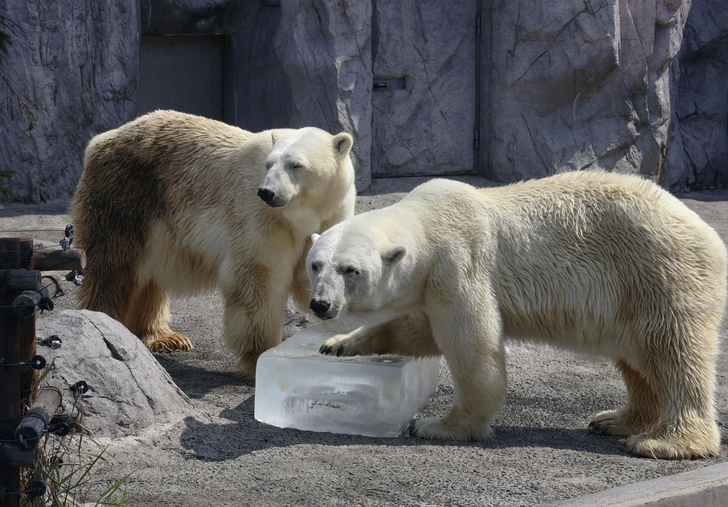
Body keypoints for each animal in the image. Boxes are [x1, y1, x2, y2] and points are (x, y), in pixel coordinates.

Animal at [72, 112, 356, 380]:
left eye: (296, 164)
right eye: (269, 164)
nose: (267, 192)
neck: (300, 215)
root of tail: (100, 139)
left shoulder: (329, 217)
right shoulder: (259, 217)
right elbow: (259, 279)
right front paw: (262, 357)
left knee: (149, 277)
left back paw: (164, 337)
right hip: (126, 198)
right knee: (114, 268)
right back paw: (106, 324)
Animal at [308, 171, 728, 460]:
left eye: (350, 270)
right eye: (315, 265)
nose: (320, 304)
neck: (429, 219)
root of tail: (708, 234)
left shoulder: (458, 264)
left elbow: (472, 347)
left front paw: (438, 426)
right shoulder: (429, 285)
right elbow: (416, 329)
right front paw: (339, 344)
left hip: (659, 274)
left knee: (675, 353)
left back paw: (666, 441)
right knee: (637, 361)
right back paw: (616, 420)